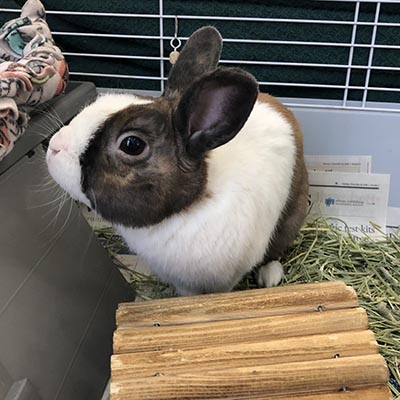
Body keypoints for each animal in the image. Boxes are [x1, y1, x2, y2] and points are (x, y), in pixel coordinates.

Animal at [47, 26, 310, 296]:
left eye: (132, 145)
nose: (54, 146)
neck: (185, 209)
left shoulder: (225, 280)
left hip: (292, 213)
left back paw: (270, 276)